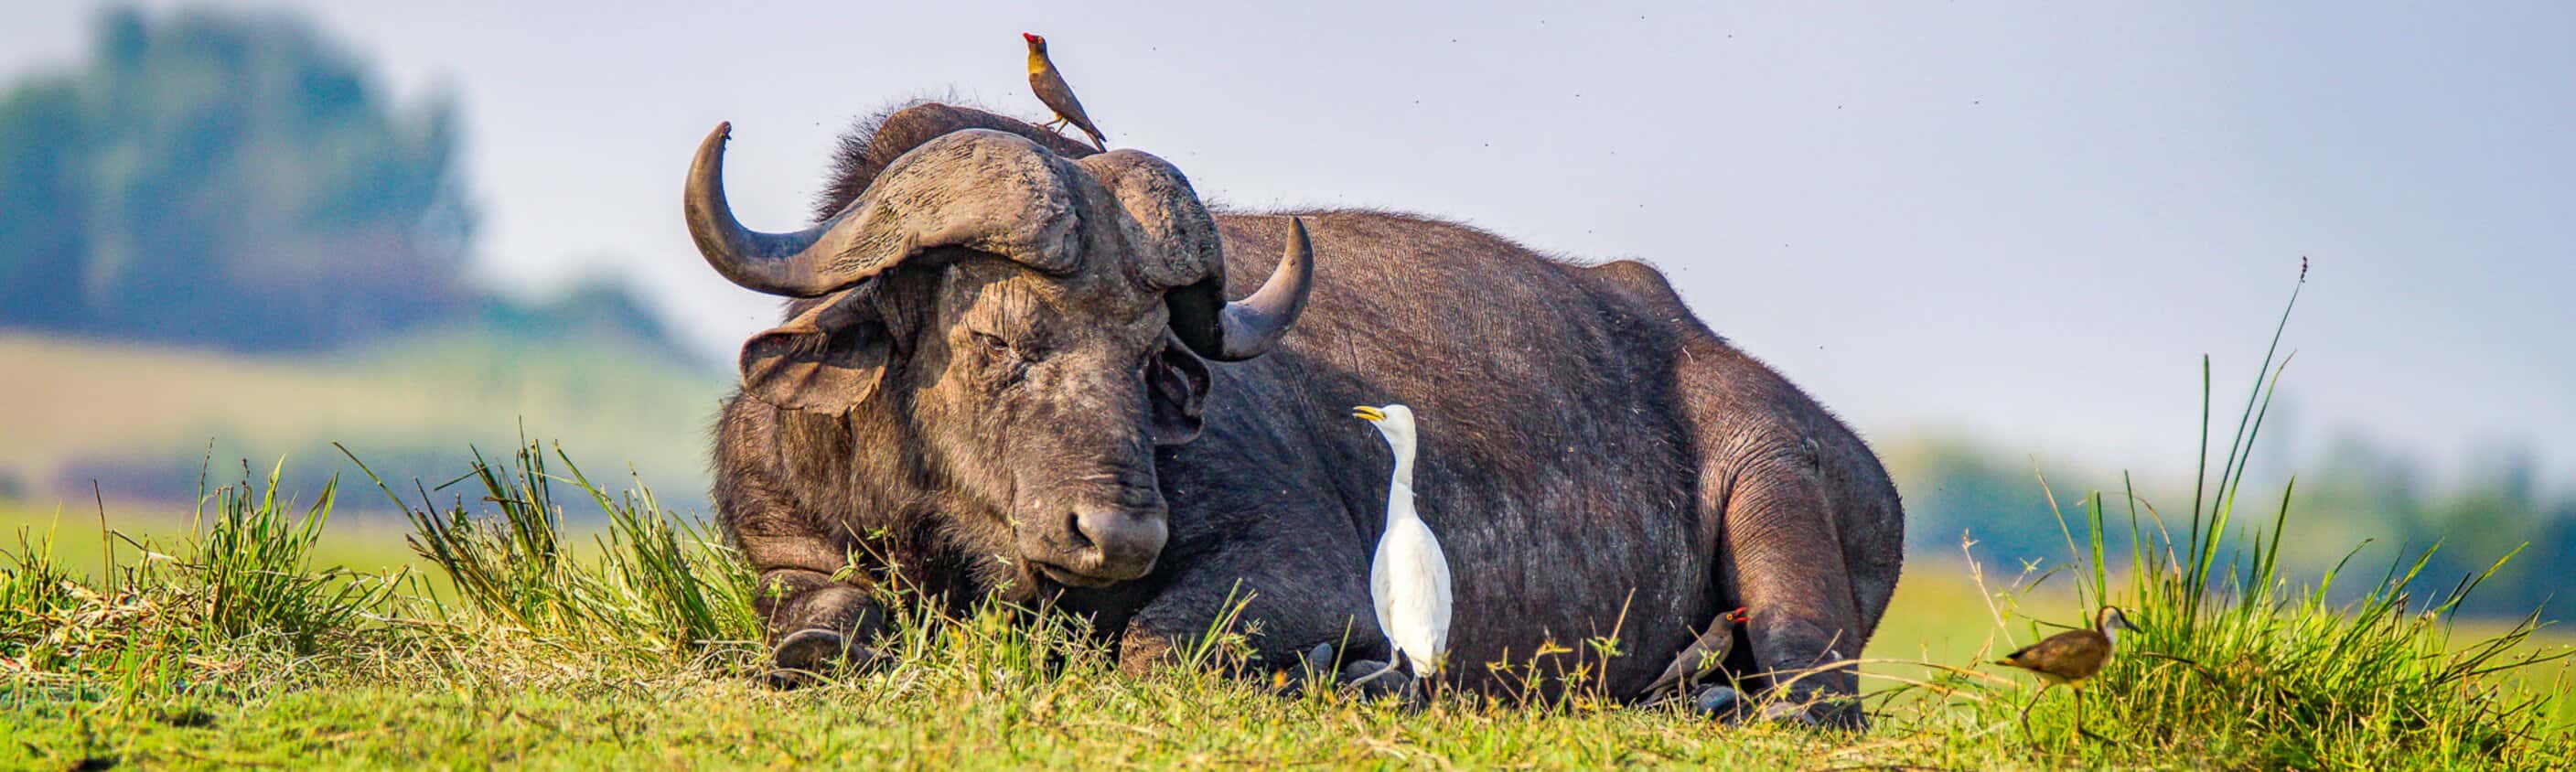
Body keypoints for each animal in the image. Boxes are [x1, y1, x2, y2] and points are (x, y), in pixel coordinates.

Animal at [693, 103, 1903, 725]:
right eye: (997, 340)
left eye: (1149, 353)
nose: (1116, 532)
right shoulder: (788, 546)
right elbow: (821, 631)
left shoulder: (1298, 567)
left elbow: (1156, 645)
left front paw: (1350, 674)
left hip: (1776, 483)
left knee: (1808, 696)